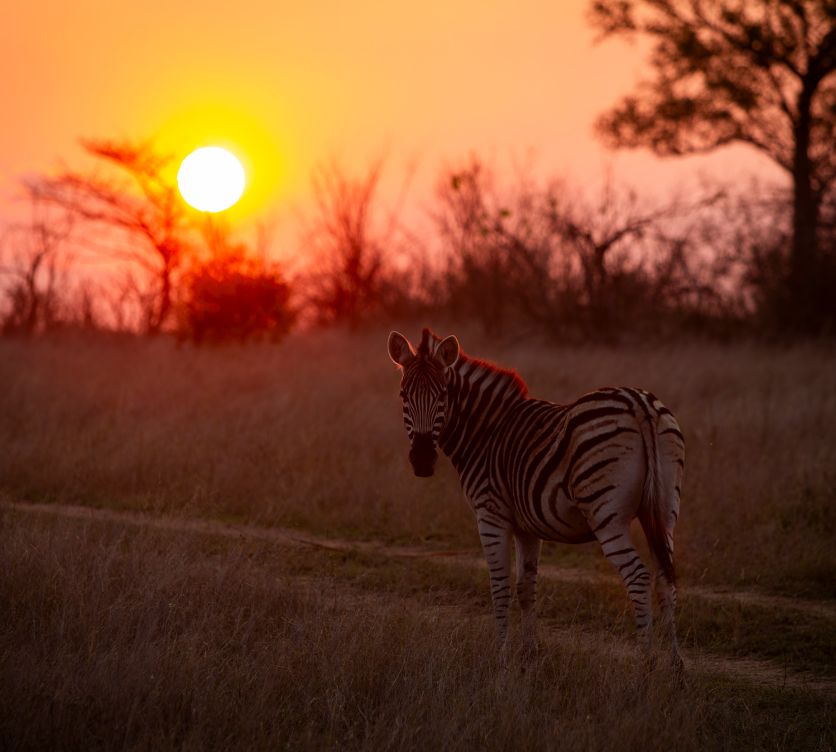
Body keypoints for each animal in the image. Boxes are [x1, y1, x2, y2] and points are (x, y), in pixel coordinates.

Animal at [387, 328, 684, 670]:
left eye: (443, 395)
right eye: (403, 396)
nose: (422, 462)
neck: (486, 432)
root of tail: (639, 404)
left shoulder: (491, 515)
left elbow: (500, 586)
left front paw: (500, 656)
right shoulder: (528, 526)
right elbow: (526, 587)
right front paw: (529, 654)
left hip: (607, 515)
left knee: (638, 576)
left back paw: (646, 667)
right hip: (664, 510)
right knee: (665, 578)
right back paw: (675, 668)